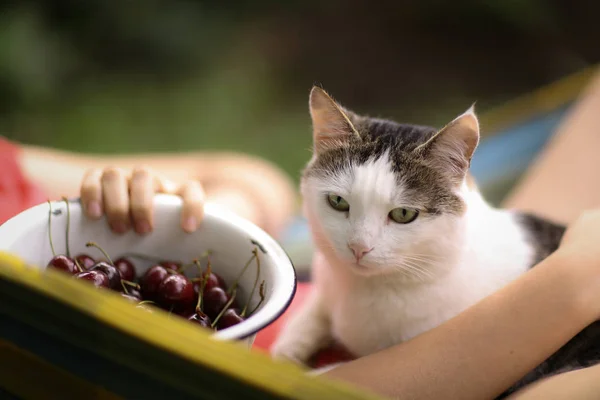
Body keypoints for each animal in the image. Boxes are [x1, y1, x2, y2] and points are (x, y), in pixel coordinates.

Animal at [272, 86, 600, 396]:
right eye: (338, 201)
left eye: (404, 214)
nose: (358, 248)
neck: (368, 288)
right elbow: (313, 310)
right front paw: (288, 348)